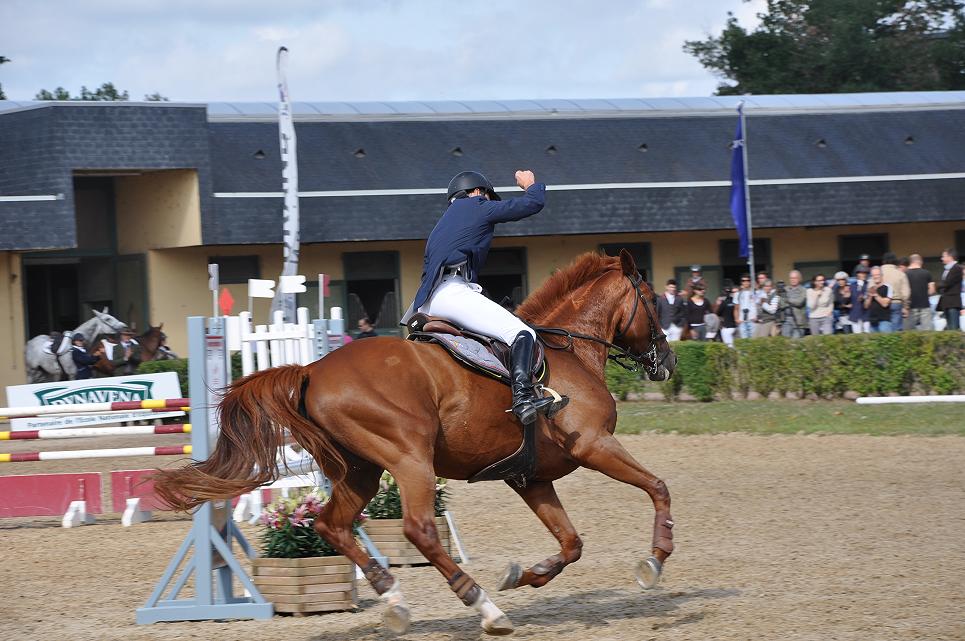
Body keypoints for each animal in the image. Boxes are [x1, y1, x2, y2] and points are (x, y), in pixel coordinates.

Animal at [153, 249, 676, 632]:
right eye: (653, 299)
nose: (668, 362)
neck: (571, 351)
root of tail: (312, 370)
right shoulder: (594, 445)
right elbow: (657, 487)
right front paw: (655, 560)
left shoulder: (530, 477)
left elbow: (571, 543)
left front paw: (525, 575)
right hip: (410, 459)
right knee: (419, 530)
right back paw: (485, 608)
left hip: (362, 470)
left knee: (331, 525)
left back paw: (395, 601)